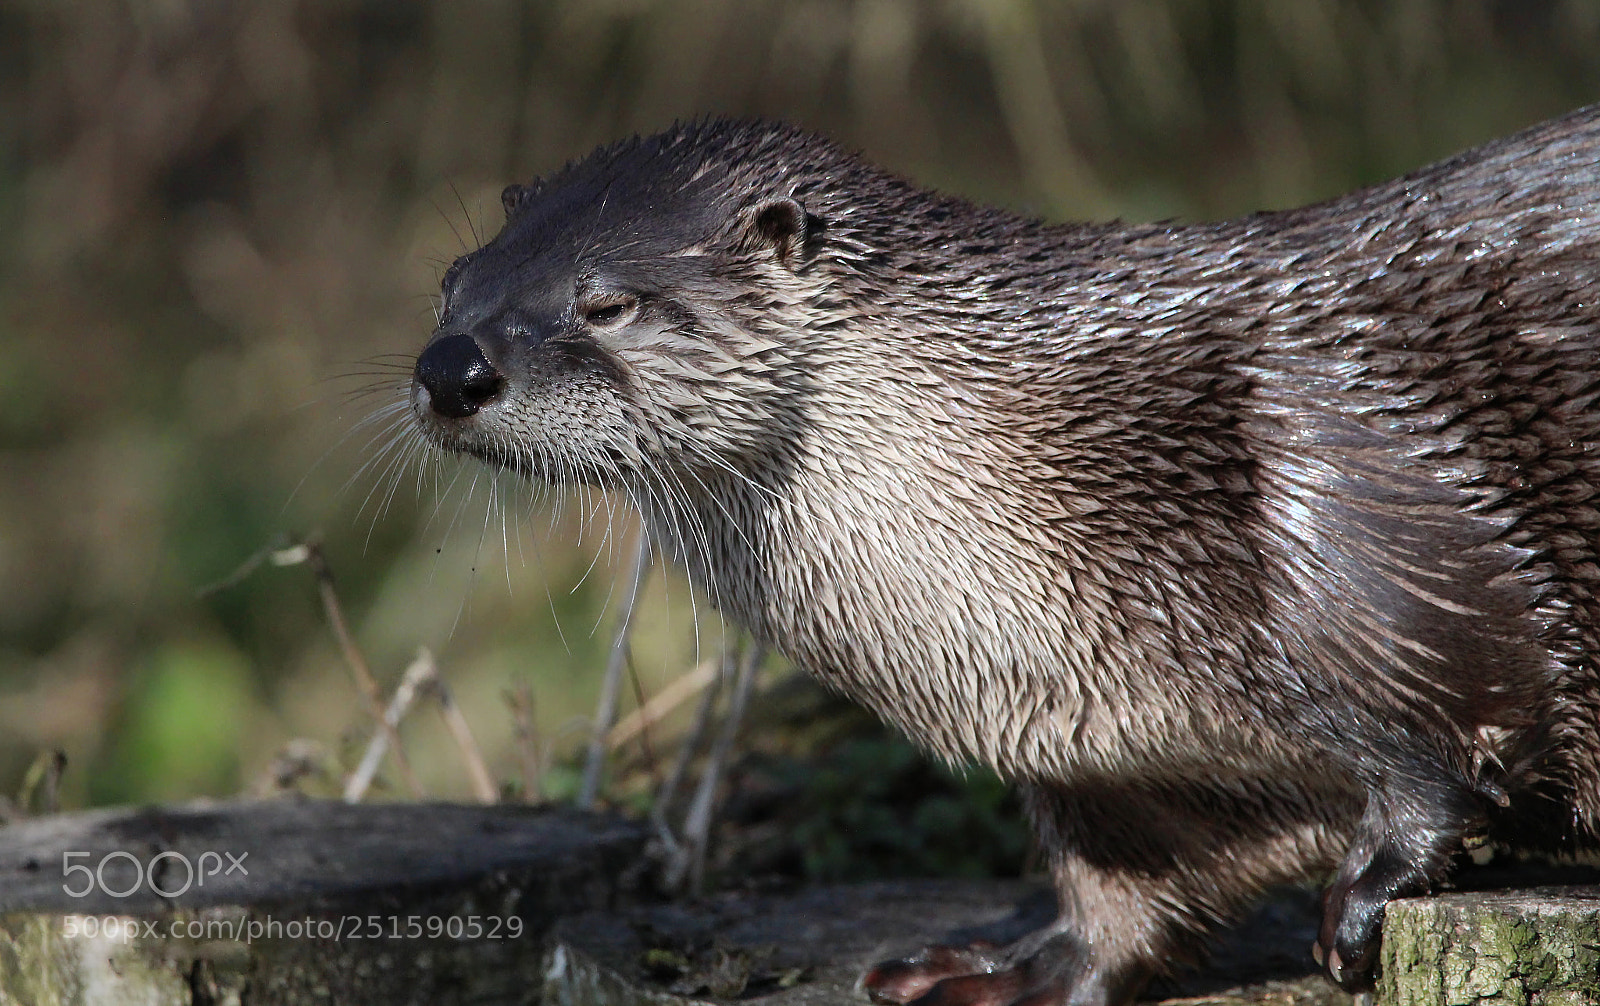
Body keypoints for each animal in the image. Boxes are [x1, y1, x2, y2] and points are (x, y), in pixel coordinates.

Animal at [405, 109, 1600, 1005]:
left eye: (607, 301)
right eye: (454, 281)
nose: (448, 367)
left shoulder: (1350, 488)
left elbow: (1459, 720)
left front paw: (1373, 890)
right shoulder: (1124, 757)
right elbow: (1132, 880)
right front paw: (1019, 966)